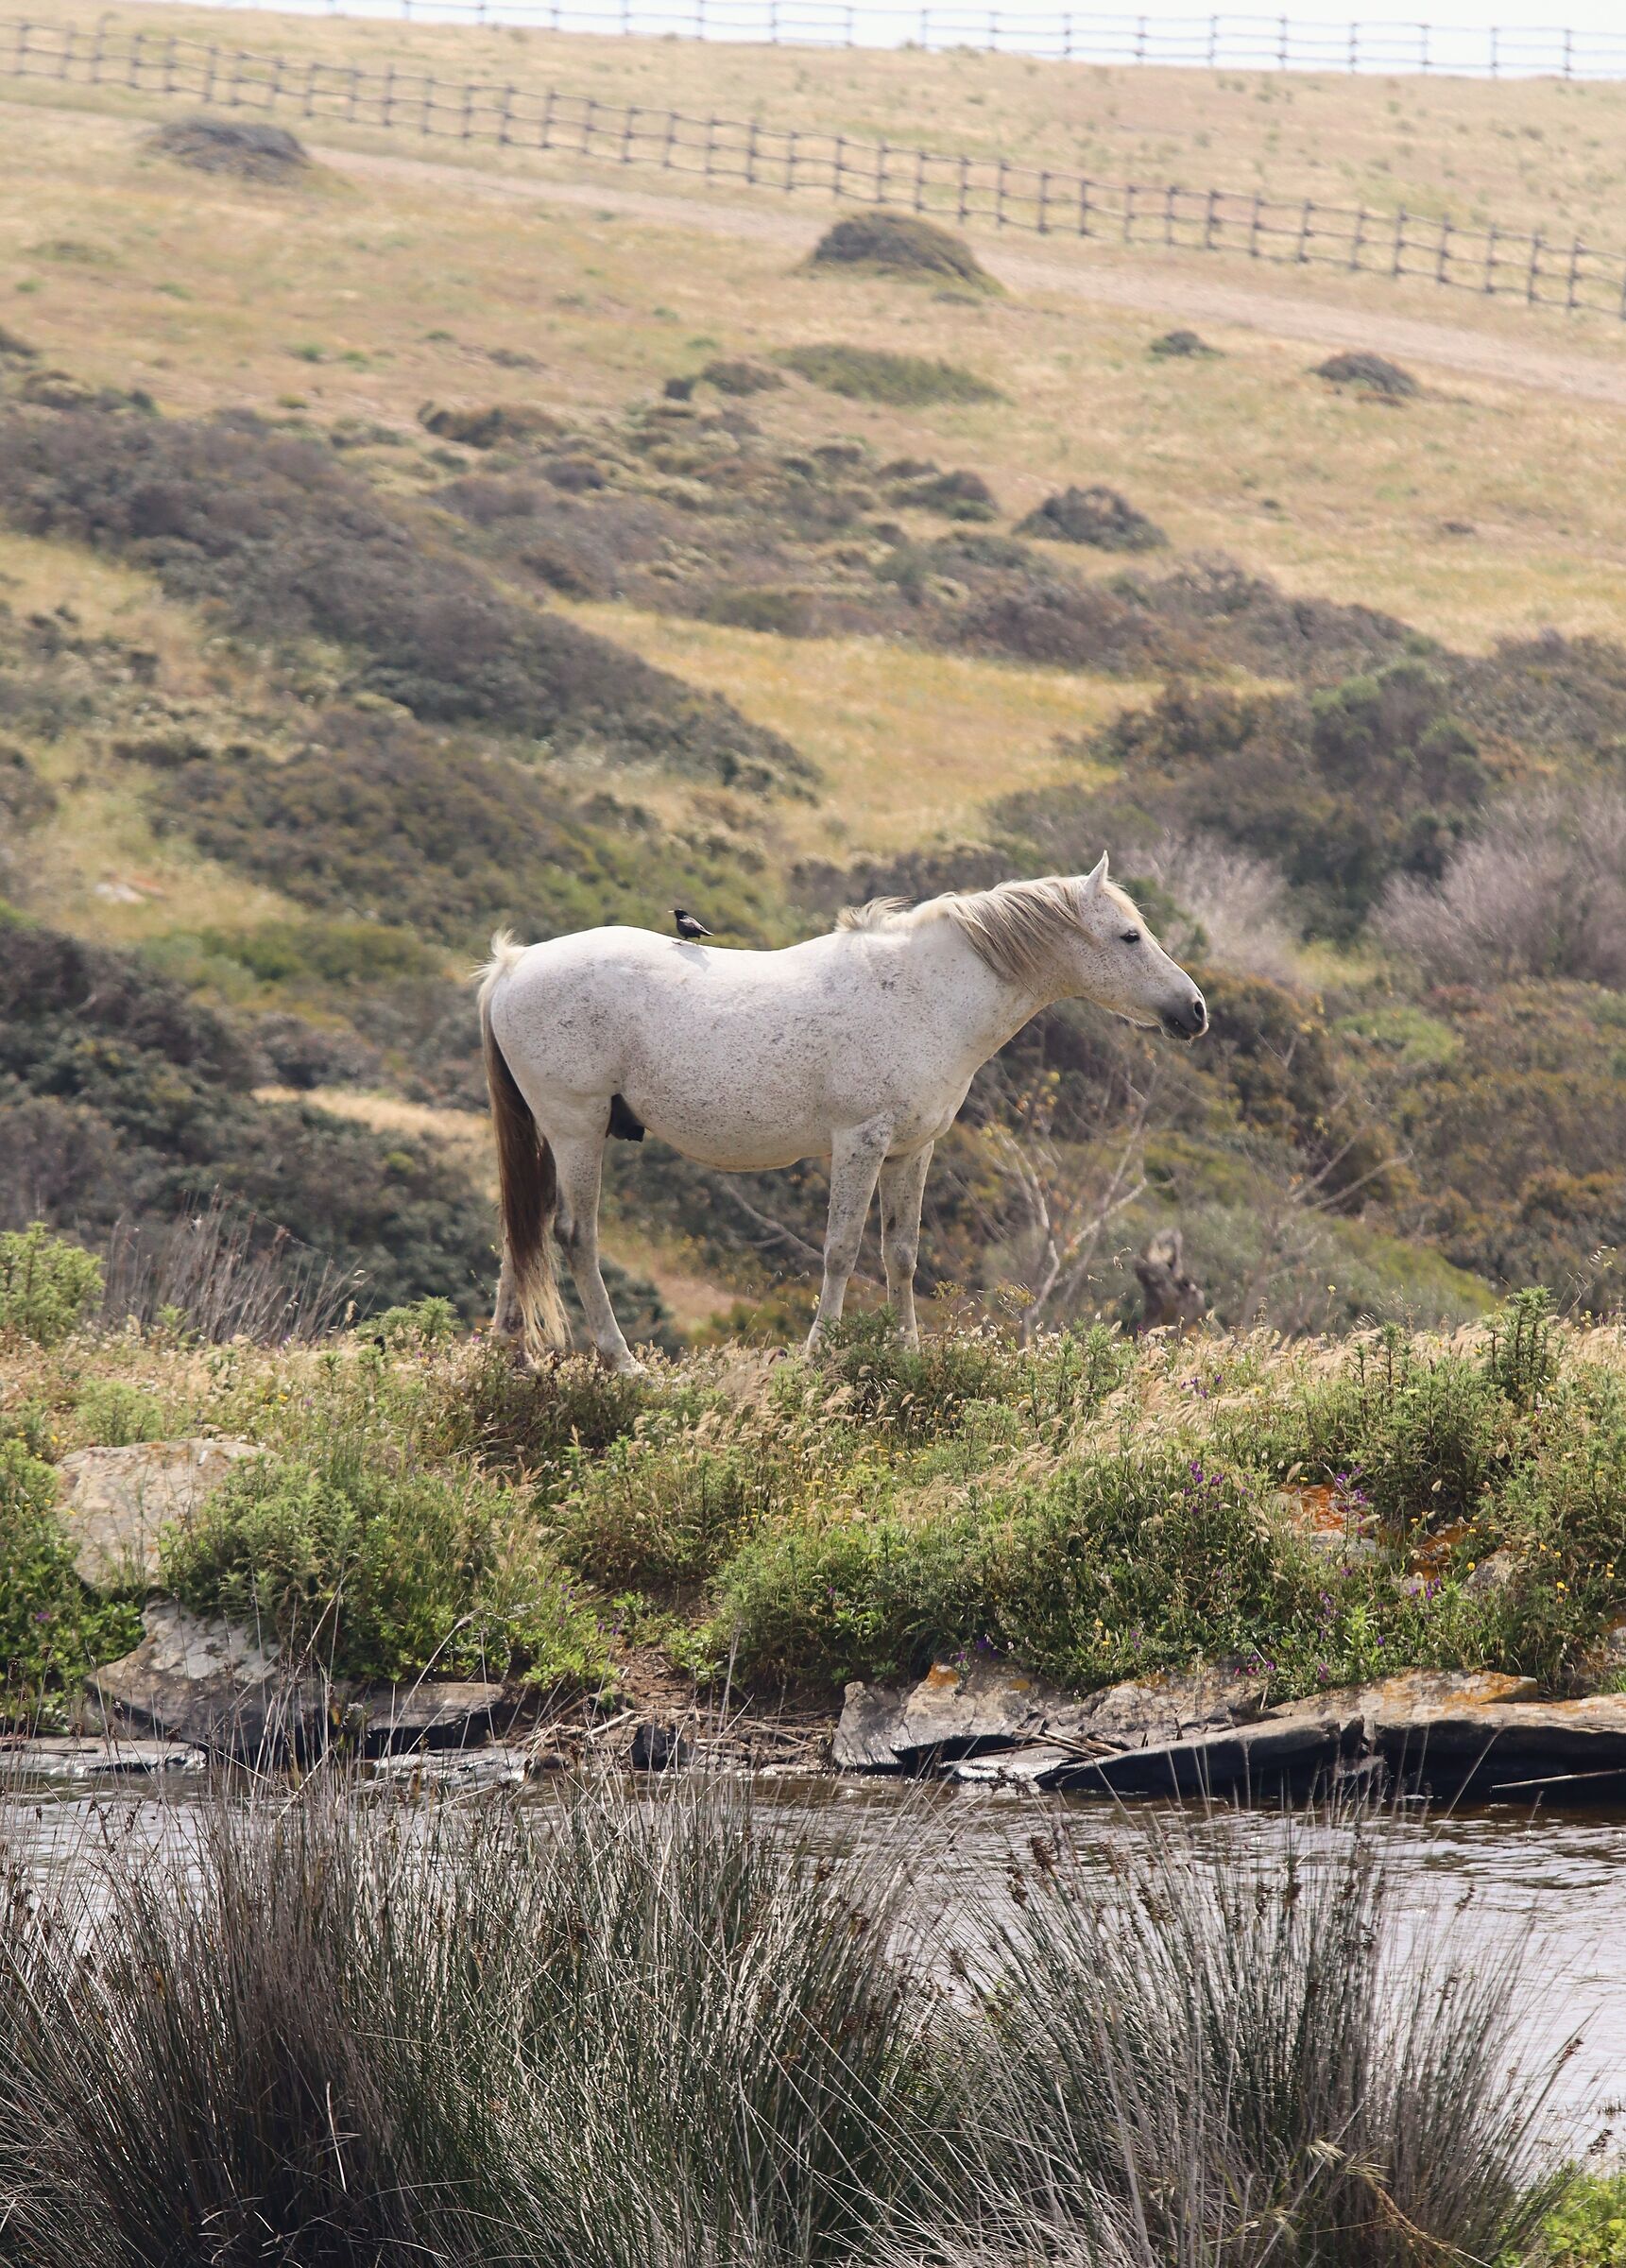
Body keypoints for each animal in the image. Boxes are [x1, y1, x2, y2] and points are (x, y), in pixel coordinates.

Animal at [478, 854, 1207, 1373]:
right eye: (1129, 935)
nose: (1194, 1010)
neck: (924, 993)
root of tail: (512, 967)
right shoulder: (861, 1141)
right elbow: (841, 1250)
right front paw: (818, 1354)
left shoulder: (912, 1150)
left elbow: (900, 1253)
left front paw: (906, 1353)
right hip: (577, 1130)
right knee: (574, 1235)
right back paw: (622, 1363)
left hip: (550, 1135)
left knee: (523, 1230)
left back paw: (511, 1358)